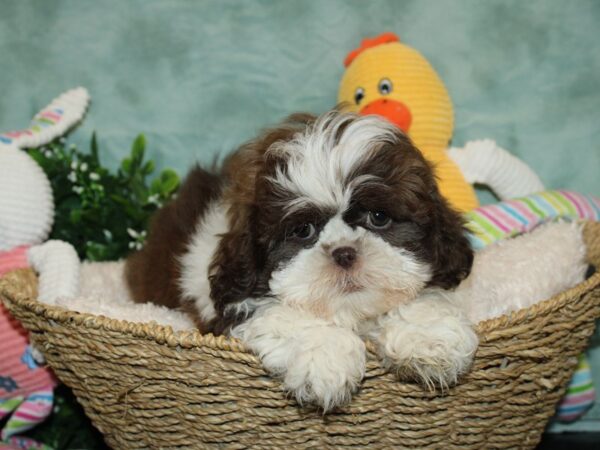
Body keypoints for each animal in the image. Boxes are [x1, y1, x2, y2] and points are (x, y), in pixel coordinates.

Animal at [125, 110, 478, 412]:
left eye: (379, 217)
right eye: (303, 230)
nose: (344, 253)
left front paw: (428, 339)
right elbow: (289, 316)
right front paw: (327, 358)